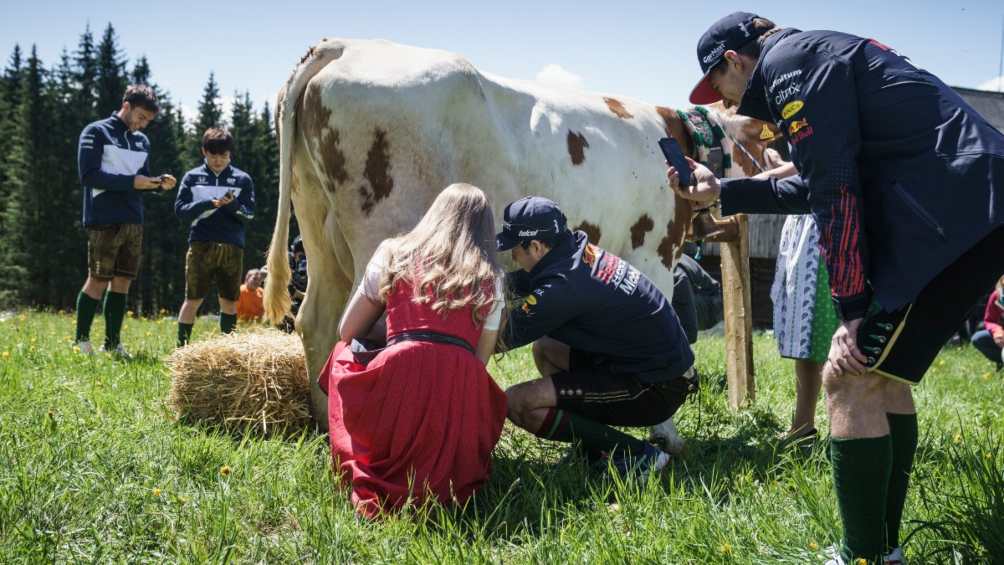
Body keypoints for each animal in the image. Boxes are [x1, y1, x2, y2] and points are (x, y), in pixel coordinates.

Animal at [265, 39, 775, 443]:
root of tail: (346, 44)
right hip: (382, 231)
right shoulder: (654, 251)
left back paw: (324, 426)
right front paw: (666, 435)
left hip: (317, 227)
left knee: (318, 321)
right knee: (358, 329)